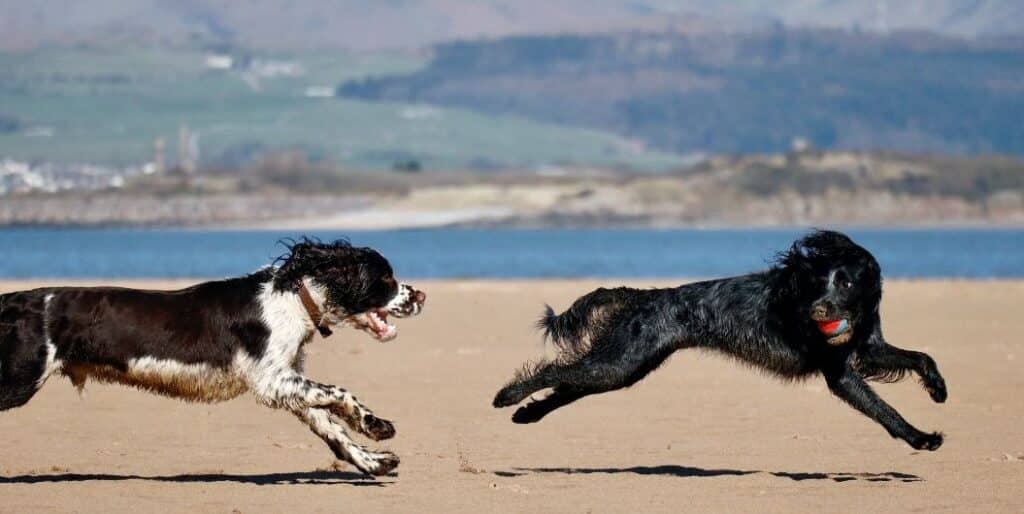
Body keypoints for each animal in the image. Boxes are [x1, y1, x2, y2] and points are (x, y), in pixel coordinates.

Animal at [0, 238, 425, 475]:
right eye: (385, 279)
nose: (421, 296)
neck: (291, 299)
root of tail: (16, 300)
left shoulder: (288, 381)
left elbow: (332, 430)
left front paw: (375, 460)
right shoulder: (272, 380)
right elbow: (340, 392)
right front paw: (375, 424)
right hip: (20, 378)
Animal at [491, 231, 946, 452]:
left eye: (847, 282)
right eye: (819, 283)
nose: (818, 311)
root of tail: (643, 296)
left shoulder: (868, 349)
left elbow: (921, 356)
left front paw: (938, 390)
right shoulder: (840, 373)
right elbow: (885, 410)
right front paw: (921, 438)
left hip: (624, 366)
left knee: (567, 384)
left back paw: (526, 414)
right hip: (618, 363)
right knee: (555, 370)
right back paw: (506, 396)